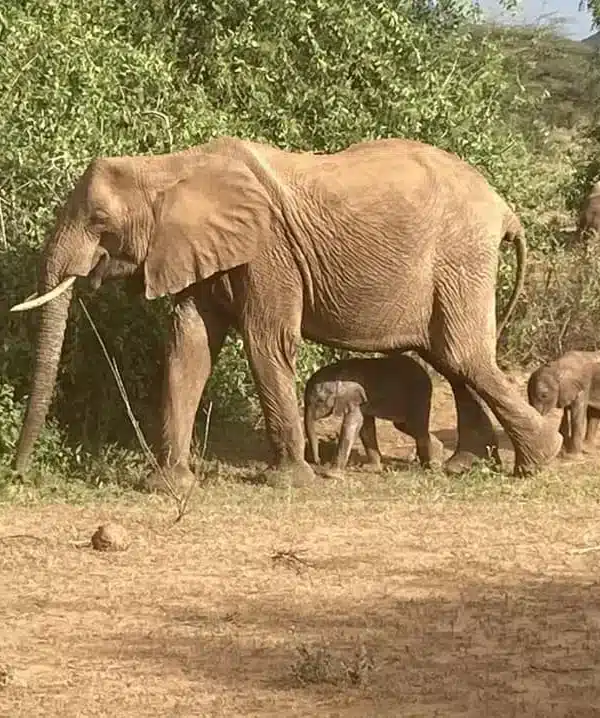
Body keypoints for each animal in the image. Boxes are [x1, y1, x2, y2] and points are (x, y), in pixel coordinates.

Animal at [303, 354, 444, 476]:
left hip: (419, 395)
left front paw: (331, 473)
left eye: (320, 401)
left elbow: (352, 424)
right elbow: (365, 427)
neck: (336, 371)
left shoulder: (355, 398)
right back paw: (437, 452)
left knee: (417, 427)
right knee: (405, 426)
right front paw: (371, 469)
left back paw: (430, 466)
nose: (318, 461)